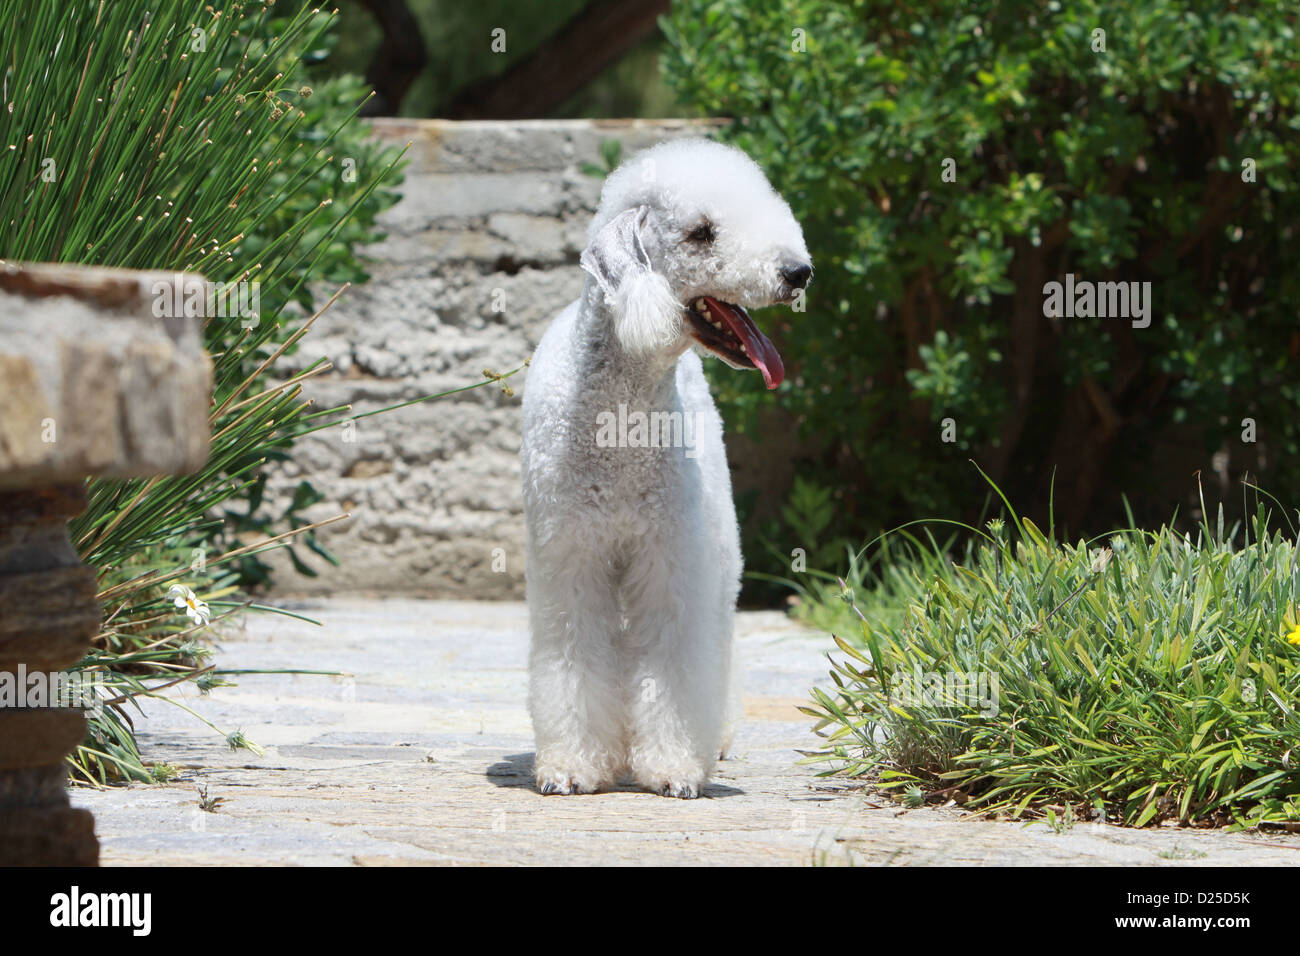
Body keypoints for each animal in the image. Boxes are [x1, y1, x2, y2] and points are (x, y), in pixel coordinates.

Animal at [520, 138, 806, 801]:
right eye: (701, 232)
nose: (797, 272)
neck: (621, 417)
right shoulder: (571, 555)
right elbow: (574, 656)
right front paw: (573, 766)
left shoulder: (671, 558)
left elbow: (676, 657)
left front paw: (674, 768)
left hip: (717, 538)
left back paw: (715, 739)